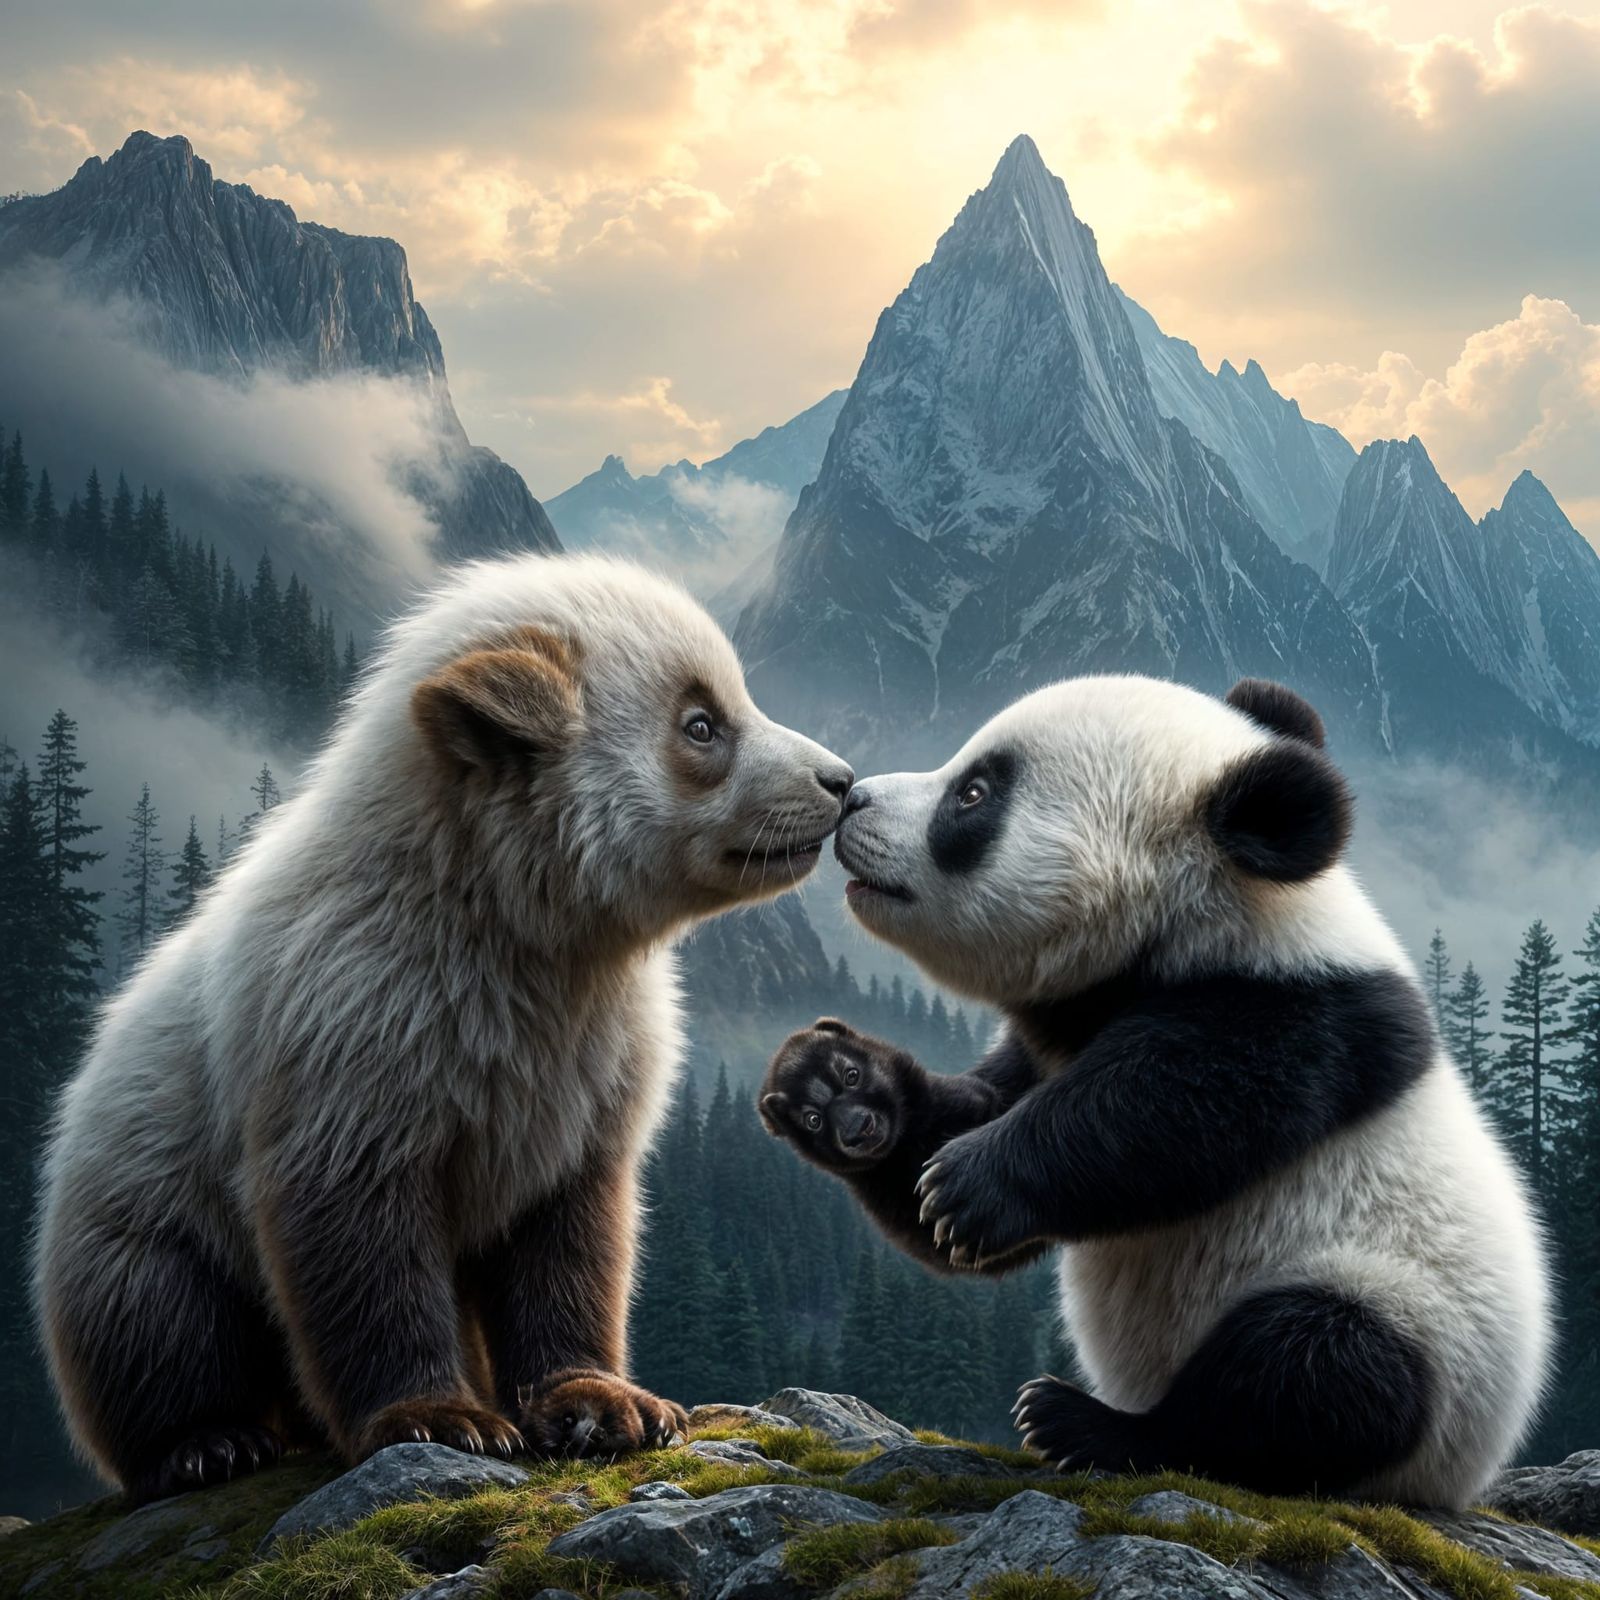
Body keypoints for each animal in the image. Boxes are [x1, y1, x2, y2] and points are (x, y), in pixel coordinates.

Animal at [760, 675, 1550, 1508]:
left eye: (974, 793)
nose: (853, 797)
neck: (1239, 918)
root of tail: (1454, 1484)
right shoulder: (1052, 1041)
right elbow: (969, 1137)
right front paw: (833, 1083)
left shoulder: (1299, 1021)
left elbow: (1169, 1109)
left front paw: (969, 1186)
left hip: (1414, 1323)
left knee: (1311, 1373)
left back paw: (1087, 1425)